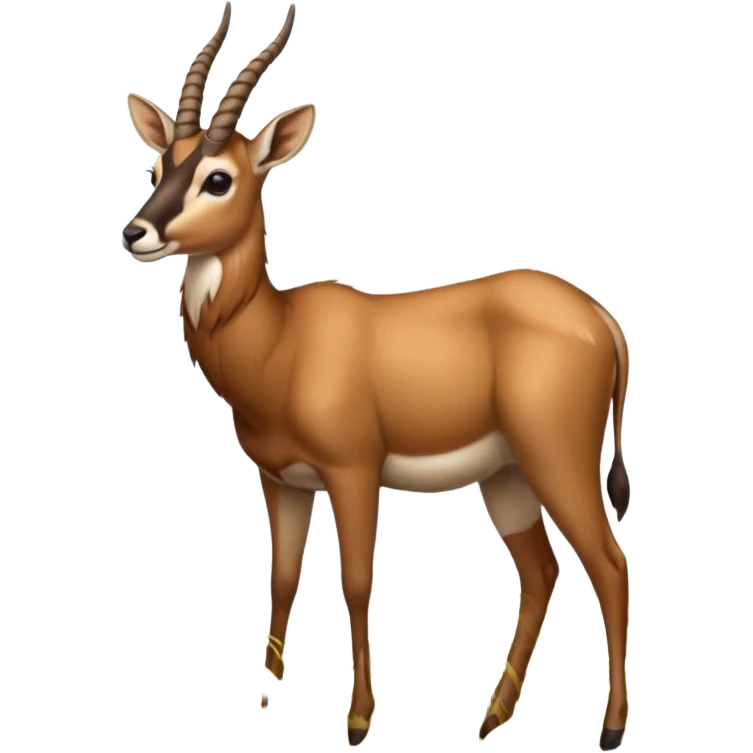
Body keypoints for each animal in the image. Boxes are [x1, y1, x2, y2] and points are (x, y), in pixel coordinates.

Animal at [121, 3, 632, 749]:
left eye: (218, 177)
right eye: (163, 162)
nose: (136, 232)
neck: (283, 339)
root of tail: (601, 318)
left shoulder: (353, 472)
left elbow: (357, 581)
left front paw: (359, 718)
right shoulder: (281, 481)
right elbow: (281, 575)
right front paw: (267, 689)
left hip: (556, 460)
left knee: (608, 563)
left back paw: (611, 726)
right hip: (505, 475)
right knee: (540, 570)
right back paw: (490, 716)